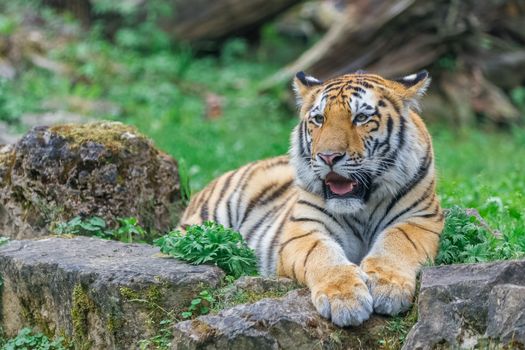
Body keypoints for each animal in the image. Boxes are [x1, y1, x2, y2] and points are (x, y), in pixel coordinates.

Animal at [179, 69, 442, 326]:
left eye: (360, 118)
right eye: (319, 119)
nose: (328, 157)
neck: (362, 207)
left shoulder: (421, 219)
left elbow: (396, 243)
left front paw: (388, 288)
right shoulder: (304, 228)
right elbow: (323, 255)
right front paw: (345, 299)